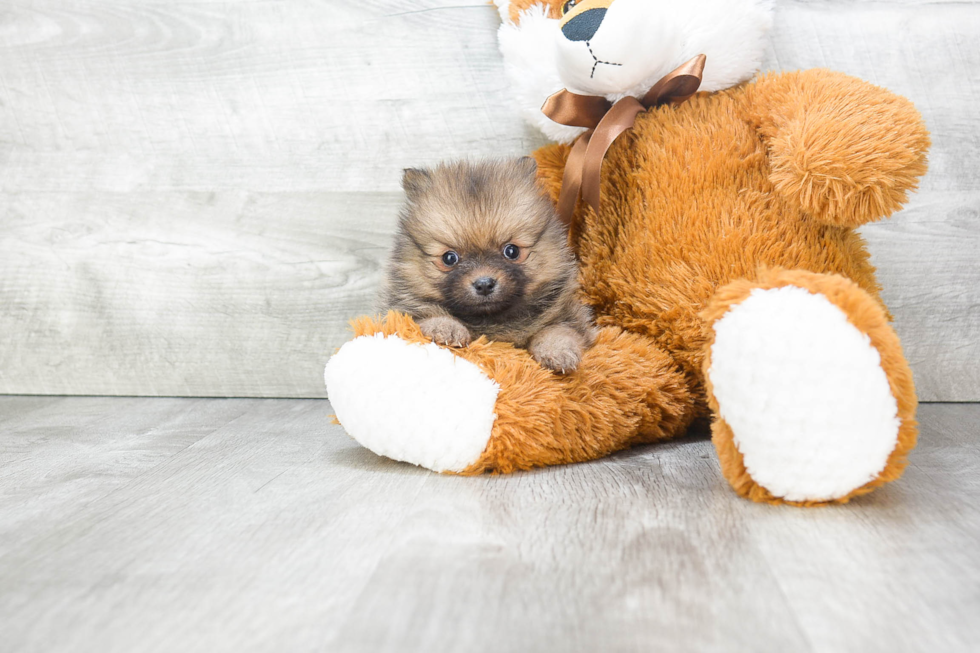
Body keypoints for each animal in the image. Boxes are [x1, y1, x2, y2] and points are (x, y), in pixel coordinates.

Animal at [382, 157, 596, 372]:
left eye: (512, 251)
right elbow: (425, 316)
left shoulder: (569, 315)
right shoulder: (403, 310)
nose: (484, 284)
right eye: (449, 258)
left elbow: (558, 330)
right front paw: (445, 328)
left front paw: (557, 352)